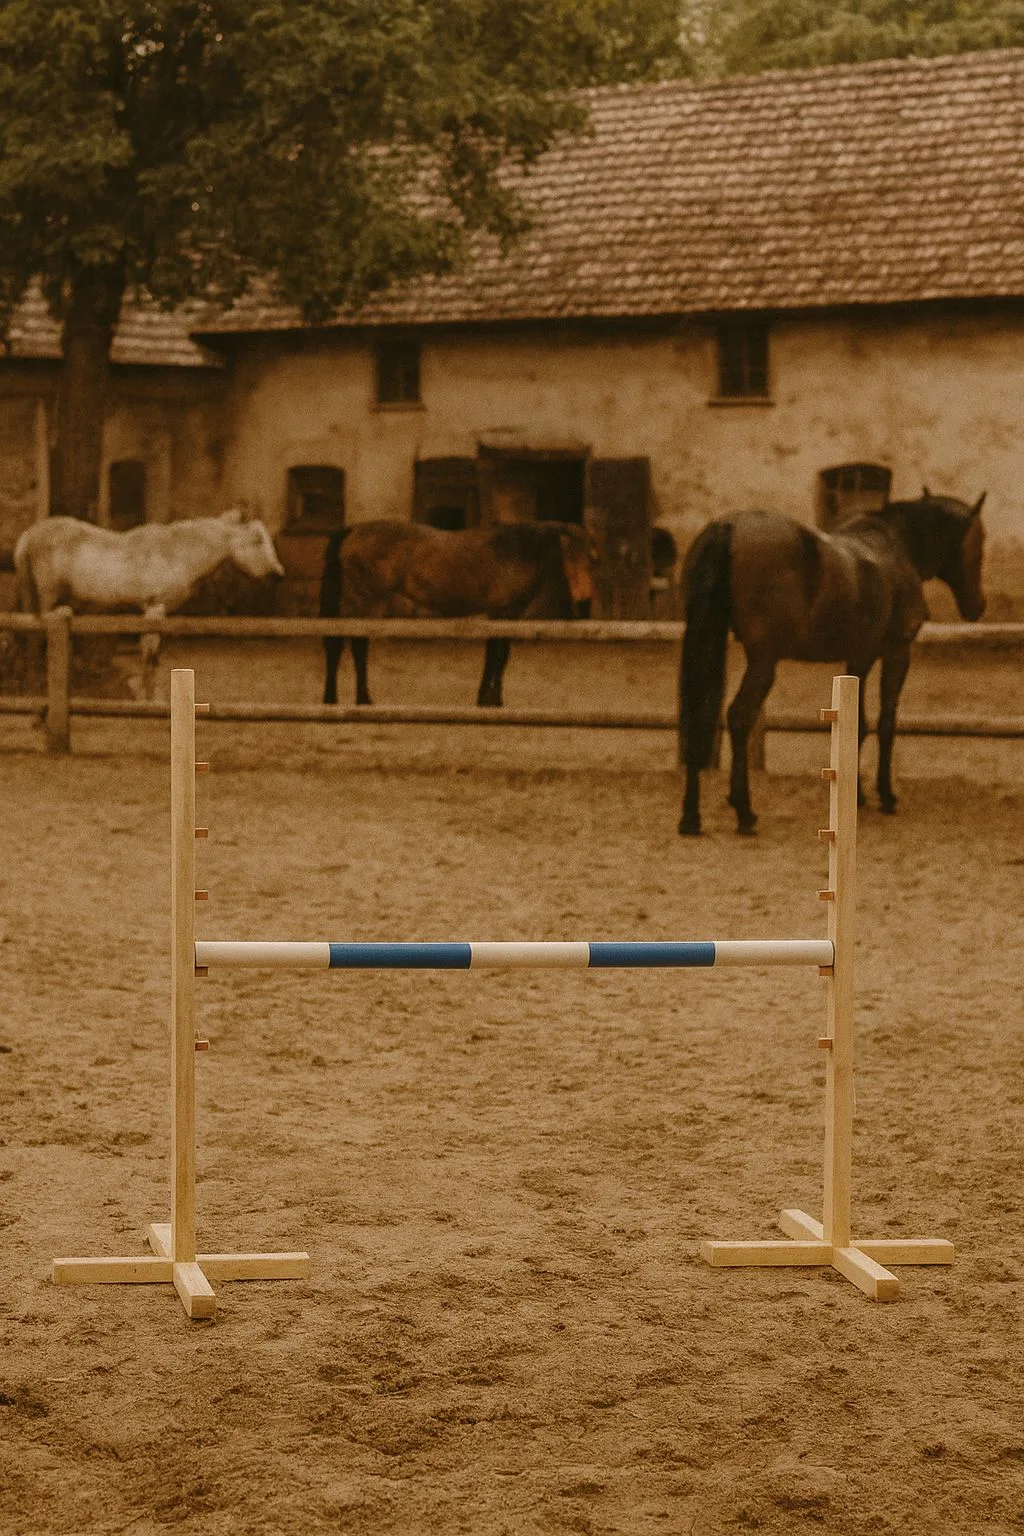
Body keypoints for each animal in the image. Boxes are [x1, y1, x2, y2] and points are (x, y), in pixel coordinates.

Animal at [14, 509, 284, 696]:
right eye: (257, 541)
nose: (278, 575)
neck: (176, 554)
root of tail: (29, 535)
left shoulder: (153, 611)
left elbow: (151, 652)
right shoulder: (155, 608)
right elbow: (151, 654)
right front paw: (148, 695)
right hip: (48, 598)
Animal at [320, 519, 594, 707]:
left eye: (592, 560)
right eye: (569, 556)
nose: (585, 602)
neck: (514, 551)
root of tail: (354, 530)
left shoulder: (500, 615)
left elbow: (494, 654)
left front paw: (486, 698)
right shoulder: (503, 613)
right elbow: (499, 655)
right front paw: (493, 699)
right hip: (365, 601)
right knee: (355, 644)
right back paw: (360, 698)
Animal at [677, 490, 987, 836]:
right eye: (980, 542)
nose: (978, 606)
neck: (895, 544)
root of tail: (728, 527)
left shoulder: (858, 658)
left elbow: (859, 725)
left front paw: (859, 796)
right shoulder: (896, 651)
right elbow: (885, 723)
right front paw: (885, 796)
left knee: (697, 717)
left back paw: (691, 817)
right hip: (763, 660)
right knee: (740, 717)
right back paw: (744, 811)